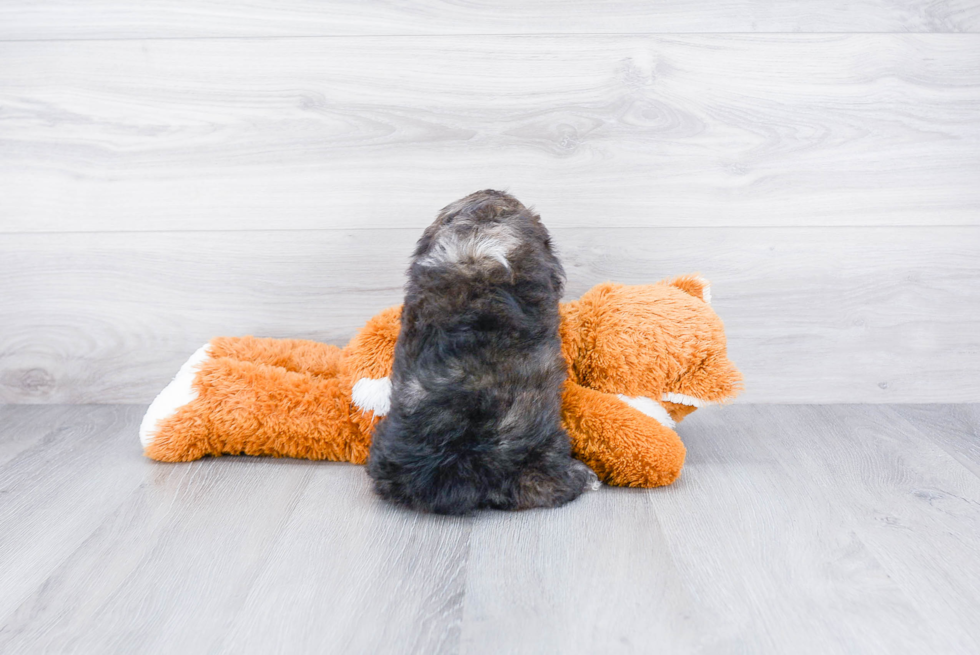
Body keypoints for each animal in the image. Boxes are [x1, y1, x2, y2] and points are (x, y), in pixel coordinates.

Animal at [370, 187, 592, 516]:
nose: (493, 190)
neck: (475, 244)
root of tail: (460, 462)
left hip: (387, 455)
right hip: (543, 451)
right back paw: (584, 476)